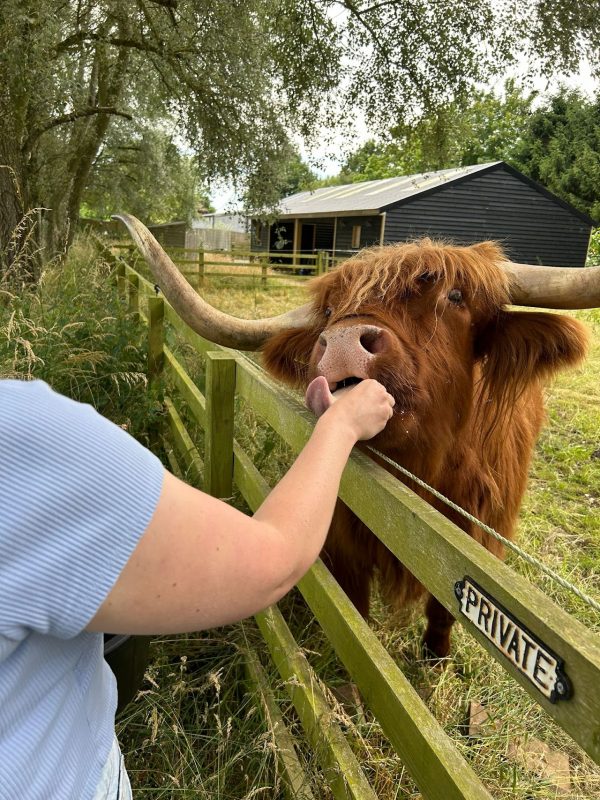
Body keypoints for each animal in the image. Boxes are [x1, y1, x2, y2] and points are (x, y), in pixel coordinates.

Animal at [114, 214, 598, 658]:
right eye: (330, 311)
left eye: (455, 296)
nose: (344, 343)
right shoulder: (344, 537)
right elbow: (355, 621)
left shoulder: (475, 537)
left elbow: (443, 608)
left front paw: (436, 656)